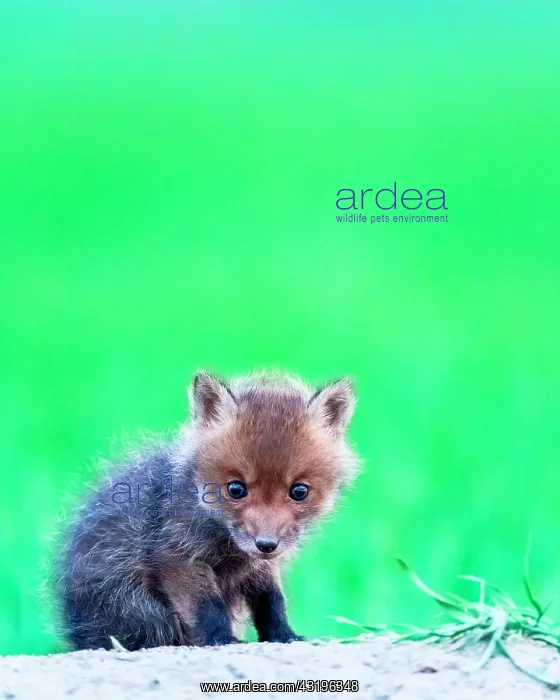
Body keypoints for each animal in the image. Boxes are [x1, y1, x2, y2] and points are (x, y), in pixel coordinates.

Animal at [59, 371, 359, 650]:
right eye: (236, 489)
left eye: (299, 492)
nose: (266, 544)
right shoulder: (177, 555)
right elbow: (208, 605)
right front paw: (221, 639)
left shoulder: (261, 567)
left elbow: (272, 601)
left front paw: (285, 635)